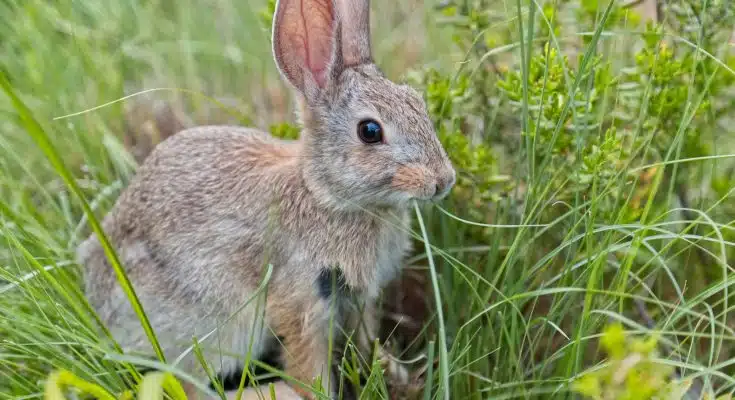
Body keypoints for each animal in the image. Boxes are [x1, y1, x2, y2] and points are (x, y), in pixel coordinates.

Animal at [75, 0, 454, 398]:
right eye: (370, 131)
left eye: (417, 102)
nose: (443, 180)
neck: (324, 195)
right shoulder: (302, 301)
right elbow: (309, 368)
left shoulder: (358, 299)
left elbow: (365, 341)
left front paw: (395, 372)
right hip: (215, 322)